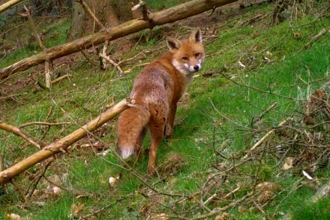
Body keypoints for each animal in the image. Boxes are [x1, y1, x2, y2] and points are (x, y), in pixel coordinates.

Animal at [116, 29, 204, 174]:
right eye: (185, 58)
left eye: (197, 54)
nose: (196, 67)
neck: (174, 65)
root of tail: (140, 93)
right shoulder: (173, 103)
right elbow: (170, 127)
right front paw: (171, 141)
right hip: (158, 122)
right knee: (153, 149)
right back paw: (151, 171)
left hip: (142, 130)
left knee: (137, 149)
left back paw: (138, 166)